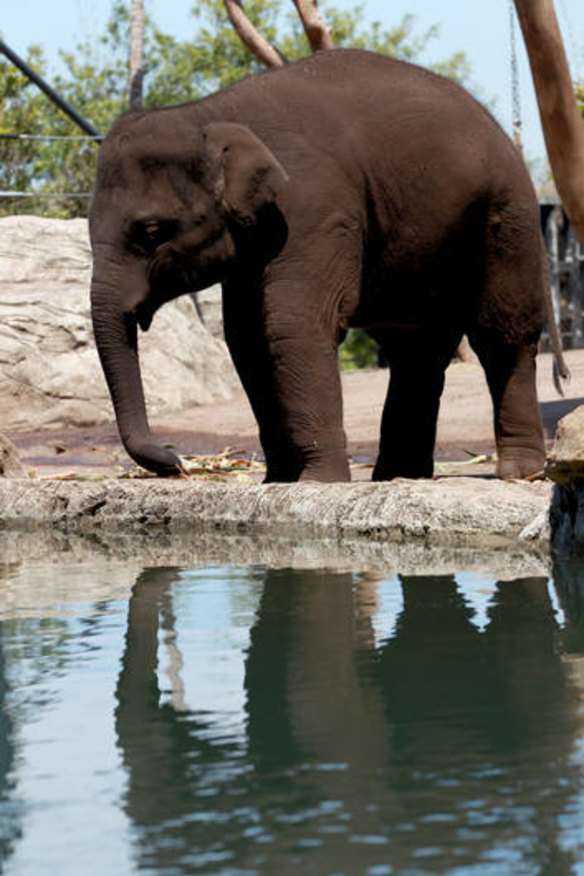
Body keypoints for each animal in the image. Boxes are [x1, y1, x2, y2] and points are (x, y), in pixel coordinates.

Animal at [89, 48, 565, 482]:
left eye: (151, 231)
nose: (176, 462)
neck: (208, 112)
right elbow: (246, 336)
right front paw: (278, 481)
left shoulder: (312, 208)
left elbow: (293, 322)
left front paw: (318, 483)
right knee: (416, 349)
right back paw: (399, 477)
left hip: (506, 219)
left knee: (502, 334)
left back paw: (519, 473)